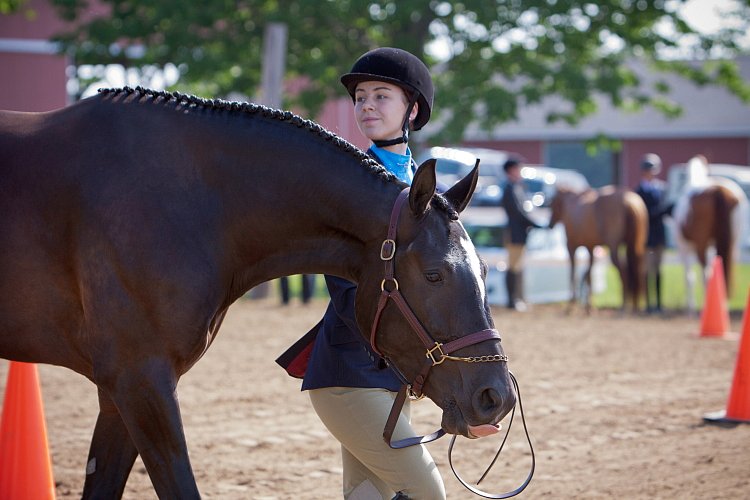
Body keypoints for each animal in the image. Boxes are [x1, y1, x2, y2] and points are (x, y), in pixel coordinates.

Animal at [0, 88, 516, 498]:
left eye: (485, 269)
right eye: (433, 275)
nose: (496, 397)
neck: (186, 199)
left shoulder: (118, 392)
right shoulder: (140, 379)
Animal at [548, 186, 648, 314]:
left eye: (552, 204)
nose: (550, 224)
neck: (573, 203)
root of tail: (629, 201)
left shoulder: (571, 247)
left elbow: (573, 273)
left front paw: (572, 305)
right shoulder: (590, 248)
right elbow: (589, 275)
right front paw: (589, 307)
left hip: (613, 247)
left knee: (624, 271)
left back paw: (623, 306)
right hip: (636, 246)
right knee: (638, 270)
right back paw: (636, 307)